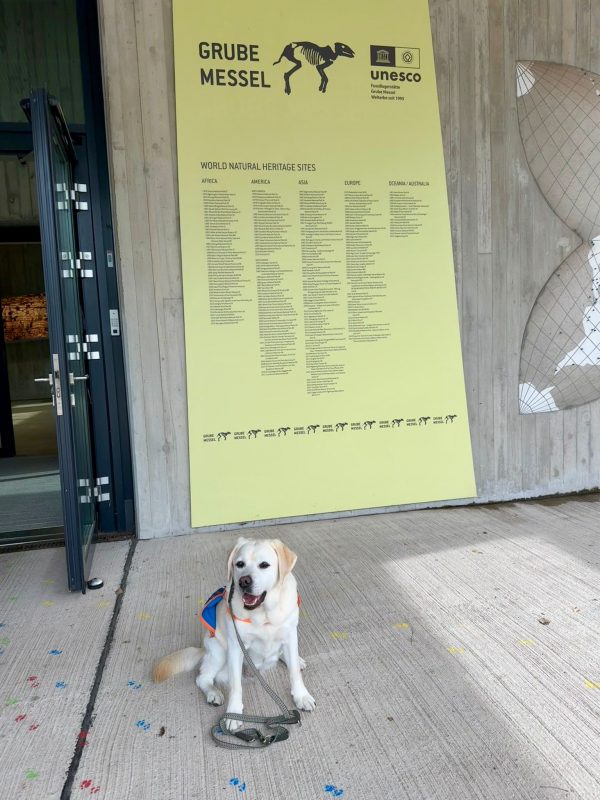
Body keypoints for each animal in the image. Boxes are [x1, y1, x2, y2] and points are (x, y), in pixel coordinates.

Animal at [152, 536, 316, 732]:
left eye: (264, 565)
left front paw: (301, 696)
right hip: (219, 653)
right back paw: (213, 693)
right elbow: (236, 686)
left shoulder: (290, 636)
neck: (264, 614)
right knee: (203, 678)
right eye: (239, 564)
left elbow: (294, 673)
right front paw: (234, 713)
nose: (244, 581)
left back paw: (296, 660)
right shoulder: (236, 647)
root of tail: (202, 649)